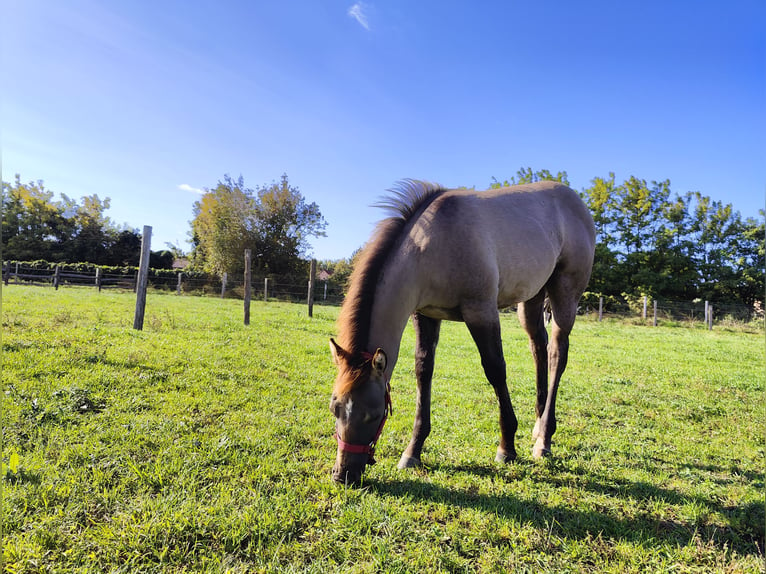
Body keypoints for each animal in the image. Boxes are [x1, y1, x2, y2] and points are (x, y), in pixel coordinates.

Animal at [328, 180, 596, 486]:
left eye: (373, 414)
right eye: (335, 408)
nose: (343, 475)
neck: (434, 243)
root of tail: (573, 198)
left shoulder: (481, 310)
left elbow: (495, 370)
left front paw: (506, 447)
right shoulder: (425, 314)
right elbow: (423, 371)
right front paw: (413, 451)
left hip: (565, 294)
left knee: (556, 354)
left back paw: (545, 440)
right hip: (532, 298)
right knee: (538, 348)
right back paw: (538, 427)